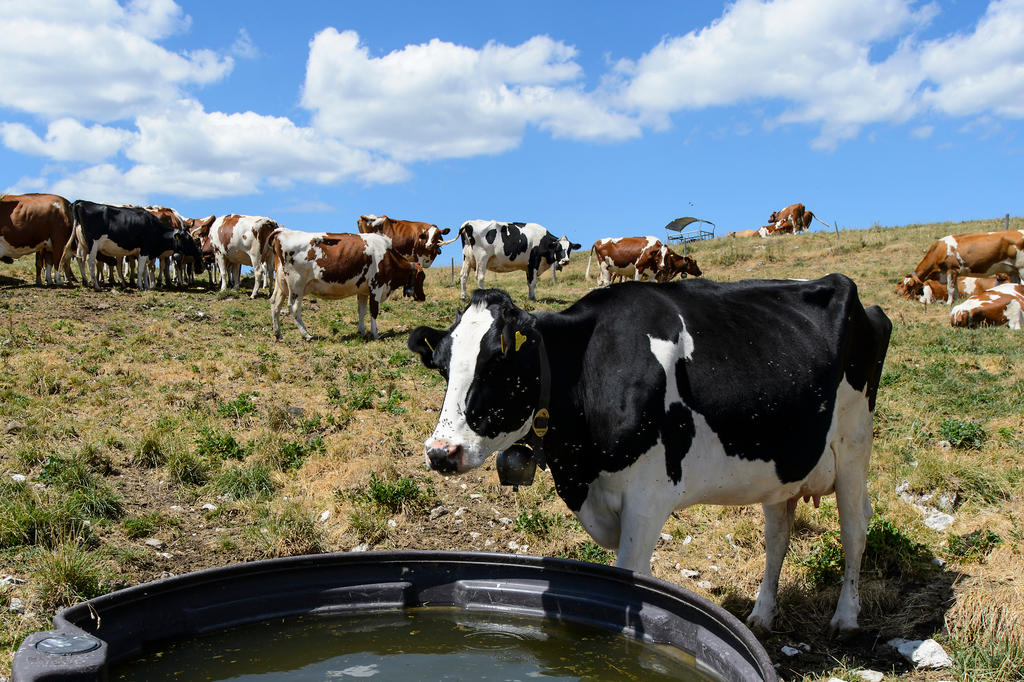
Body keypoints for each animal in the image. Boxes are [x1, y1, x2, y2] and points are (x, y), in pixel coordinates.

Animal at [270, 228, 425, 339]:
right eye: (422, 277)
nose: (423, 297)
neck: (387, 255)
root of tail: (282, 231)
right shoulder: (377, 286)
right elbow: (374, 311)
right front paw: (375, 334)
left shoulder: (363, 290)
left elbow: (362, 311)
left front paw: (362, 331)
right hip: (297, 285)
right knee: (294, 308)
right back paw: (306, 334)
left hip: (281, 284)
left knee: (275, 304)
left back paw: (278, 334)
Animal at [407, 274, 888, 630]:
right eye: (444, 368)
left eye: (497, 363)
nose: (441, 452)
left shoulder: (647, 498)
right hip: (784, 465)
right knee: (778, 536)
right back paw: (762, 615)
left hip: (854, 445)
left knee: (854, 527)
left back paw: (846, 617)